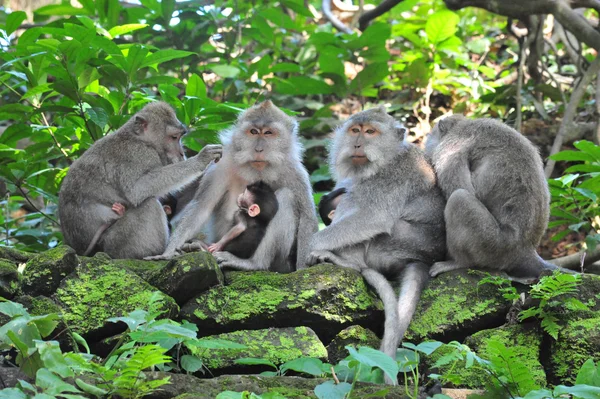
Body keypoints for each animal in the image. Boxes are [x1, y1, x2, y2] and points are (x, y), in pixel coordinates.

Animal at [58, 101, 223, 260]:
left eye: (179, 137)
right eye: (174, 137)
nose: (182, 154)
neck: (137, 138)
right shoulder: (139, 154)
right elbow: (137, 190)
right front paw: (200, 160)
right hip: (116, 243)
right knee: (149, 205)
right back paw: (160, 252)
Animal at [148, 101, 322, 274]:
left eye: (268, 133)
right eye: (253, 132)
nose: (258, 149)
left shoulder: (295, 172)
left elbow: (308, 220)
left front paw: (303, 268)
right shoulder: (222, 165)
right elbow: (202, 207)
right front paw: (169, 251)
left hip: (281, 262)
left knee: (286, 197)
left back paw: (254, 263)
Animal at [424, 114, 568, 280]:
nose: (425, 147)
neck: (462, 125)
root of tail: (526, 249)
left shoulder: (451, 146)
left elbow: (461, 187)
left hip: (493, 244)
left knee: (459, 199)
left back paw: (459, 262)